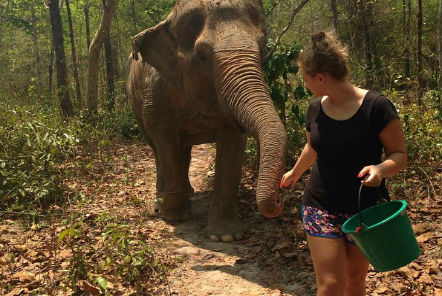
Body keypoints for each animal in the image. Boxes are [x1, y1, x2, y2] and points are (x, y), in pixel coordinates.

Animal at [126, 0, 288, 240]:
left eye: (261, 48)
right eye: (201, 55)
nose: (279, 199)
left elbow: (232, 144)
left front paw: (226, 235)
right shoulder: (155, 94)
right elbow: (166, 143)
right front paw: (175, 216)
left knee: (184, 151)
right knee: (158, 149)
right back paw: (162, 203)